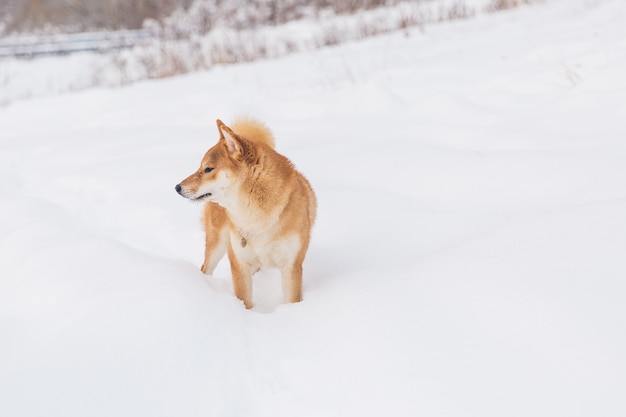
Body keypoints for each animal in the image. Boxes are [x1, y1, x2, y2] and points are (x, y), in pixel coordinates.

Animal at [174, 117, 312, 308]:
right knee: (206, 268)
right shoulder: (239, 264)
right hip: (217, 244)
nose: (177, 187)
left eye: (208, 169)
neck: (257, 218)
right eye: (200, 167)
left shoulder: (291, 266)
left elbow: (292, 299)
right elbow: (244, 301)